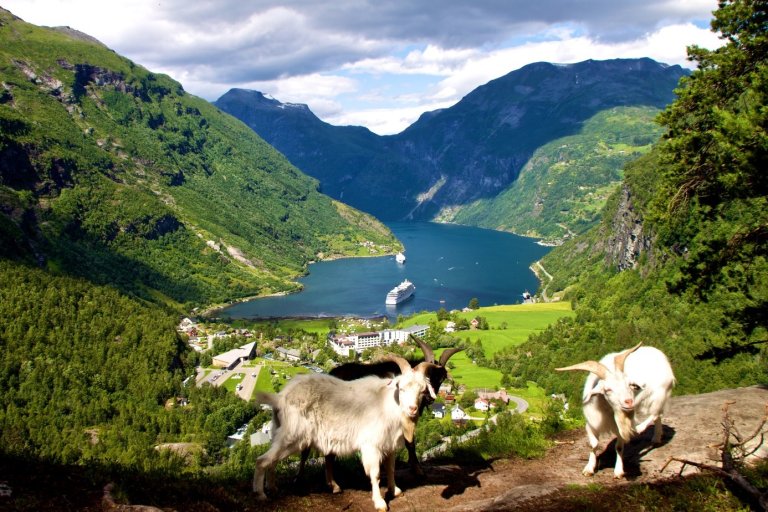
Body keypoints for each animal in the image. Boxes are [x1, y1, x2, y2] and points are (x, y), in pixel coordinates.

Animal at [252, 356, 432, 512]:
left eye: (422, 390)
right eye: (401, 388)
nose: (412, 409)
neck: (388, 403)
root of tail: (280, 399)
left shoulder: (389, 444)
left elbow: (390, 468)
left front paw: (394, 490)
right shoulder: (372, 445)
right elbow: (375, 474)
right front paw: (380, 502)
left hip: (280, 434)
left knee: (272, 461)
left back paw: (273, 489)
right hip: (291, 436)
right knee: (262, 460)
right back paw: (261, 495)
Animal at [556, 342, 676, 478]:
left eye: (629, 385)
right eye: (607, 389)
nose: (629, 402)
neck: (606, 410)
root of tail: (659, 353)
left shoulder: (620, 427)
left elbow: (618, 447)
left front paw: (618, 471)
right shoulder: (591, 424)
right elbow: (593, 444)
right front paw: (589, 468)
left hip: (659, 396)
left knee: (655, 414)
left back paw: (640, 429)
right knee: (658, 416)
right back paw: (656, 438)